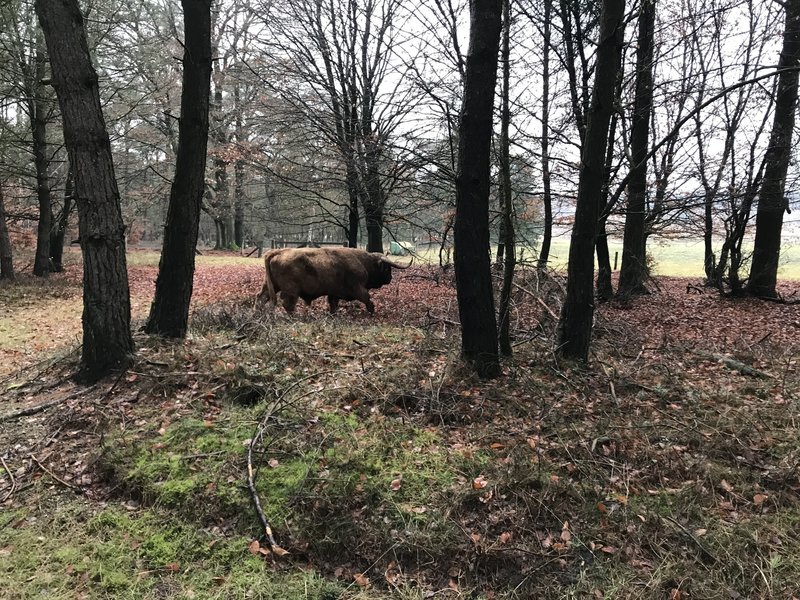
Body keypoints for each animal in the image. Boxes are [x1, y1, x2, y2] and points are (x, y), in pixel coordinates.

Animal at [255, 247, 410, 314]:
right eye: (387, 268)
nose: (390, 279)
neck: (363, 261)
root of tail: (277, 251)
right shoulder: (358, 288)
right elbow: (368, 299)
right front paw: (371, 312)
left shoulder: (333, 293)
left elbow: (333, 304)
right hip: (291, 291)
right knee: (288, 304)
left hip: (270, 286)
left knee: (261, 297)